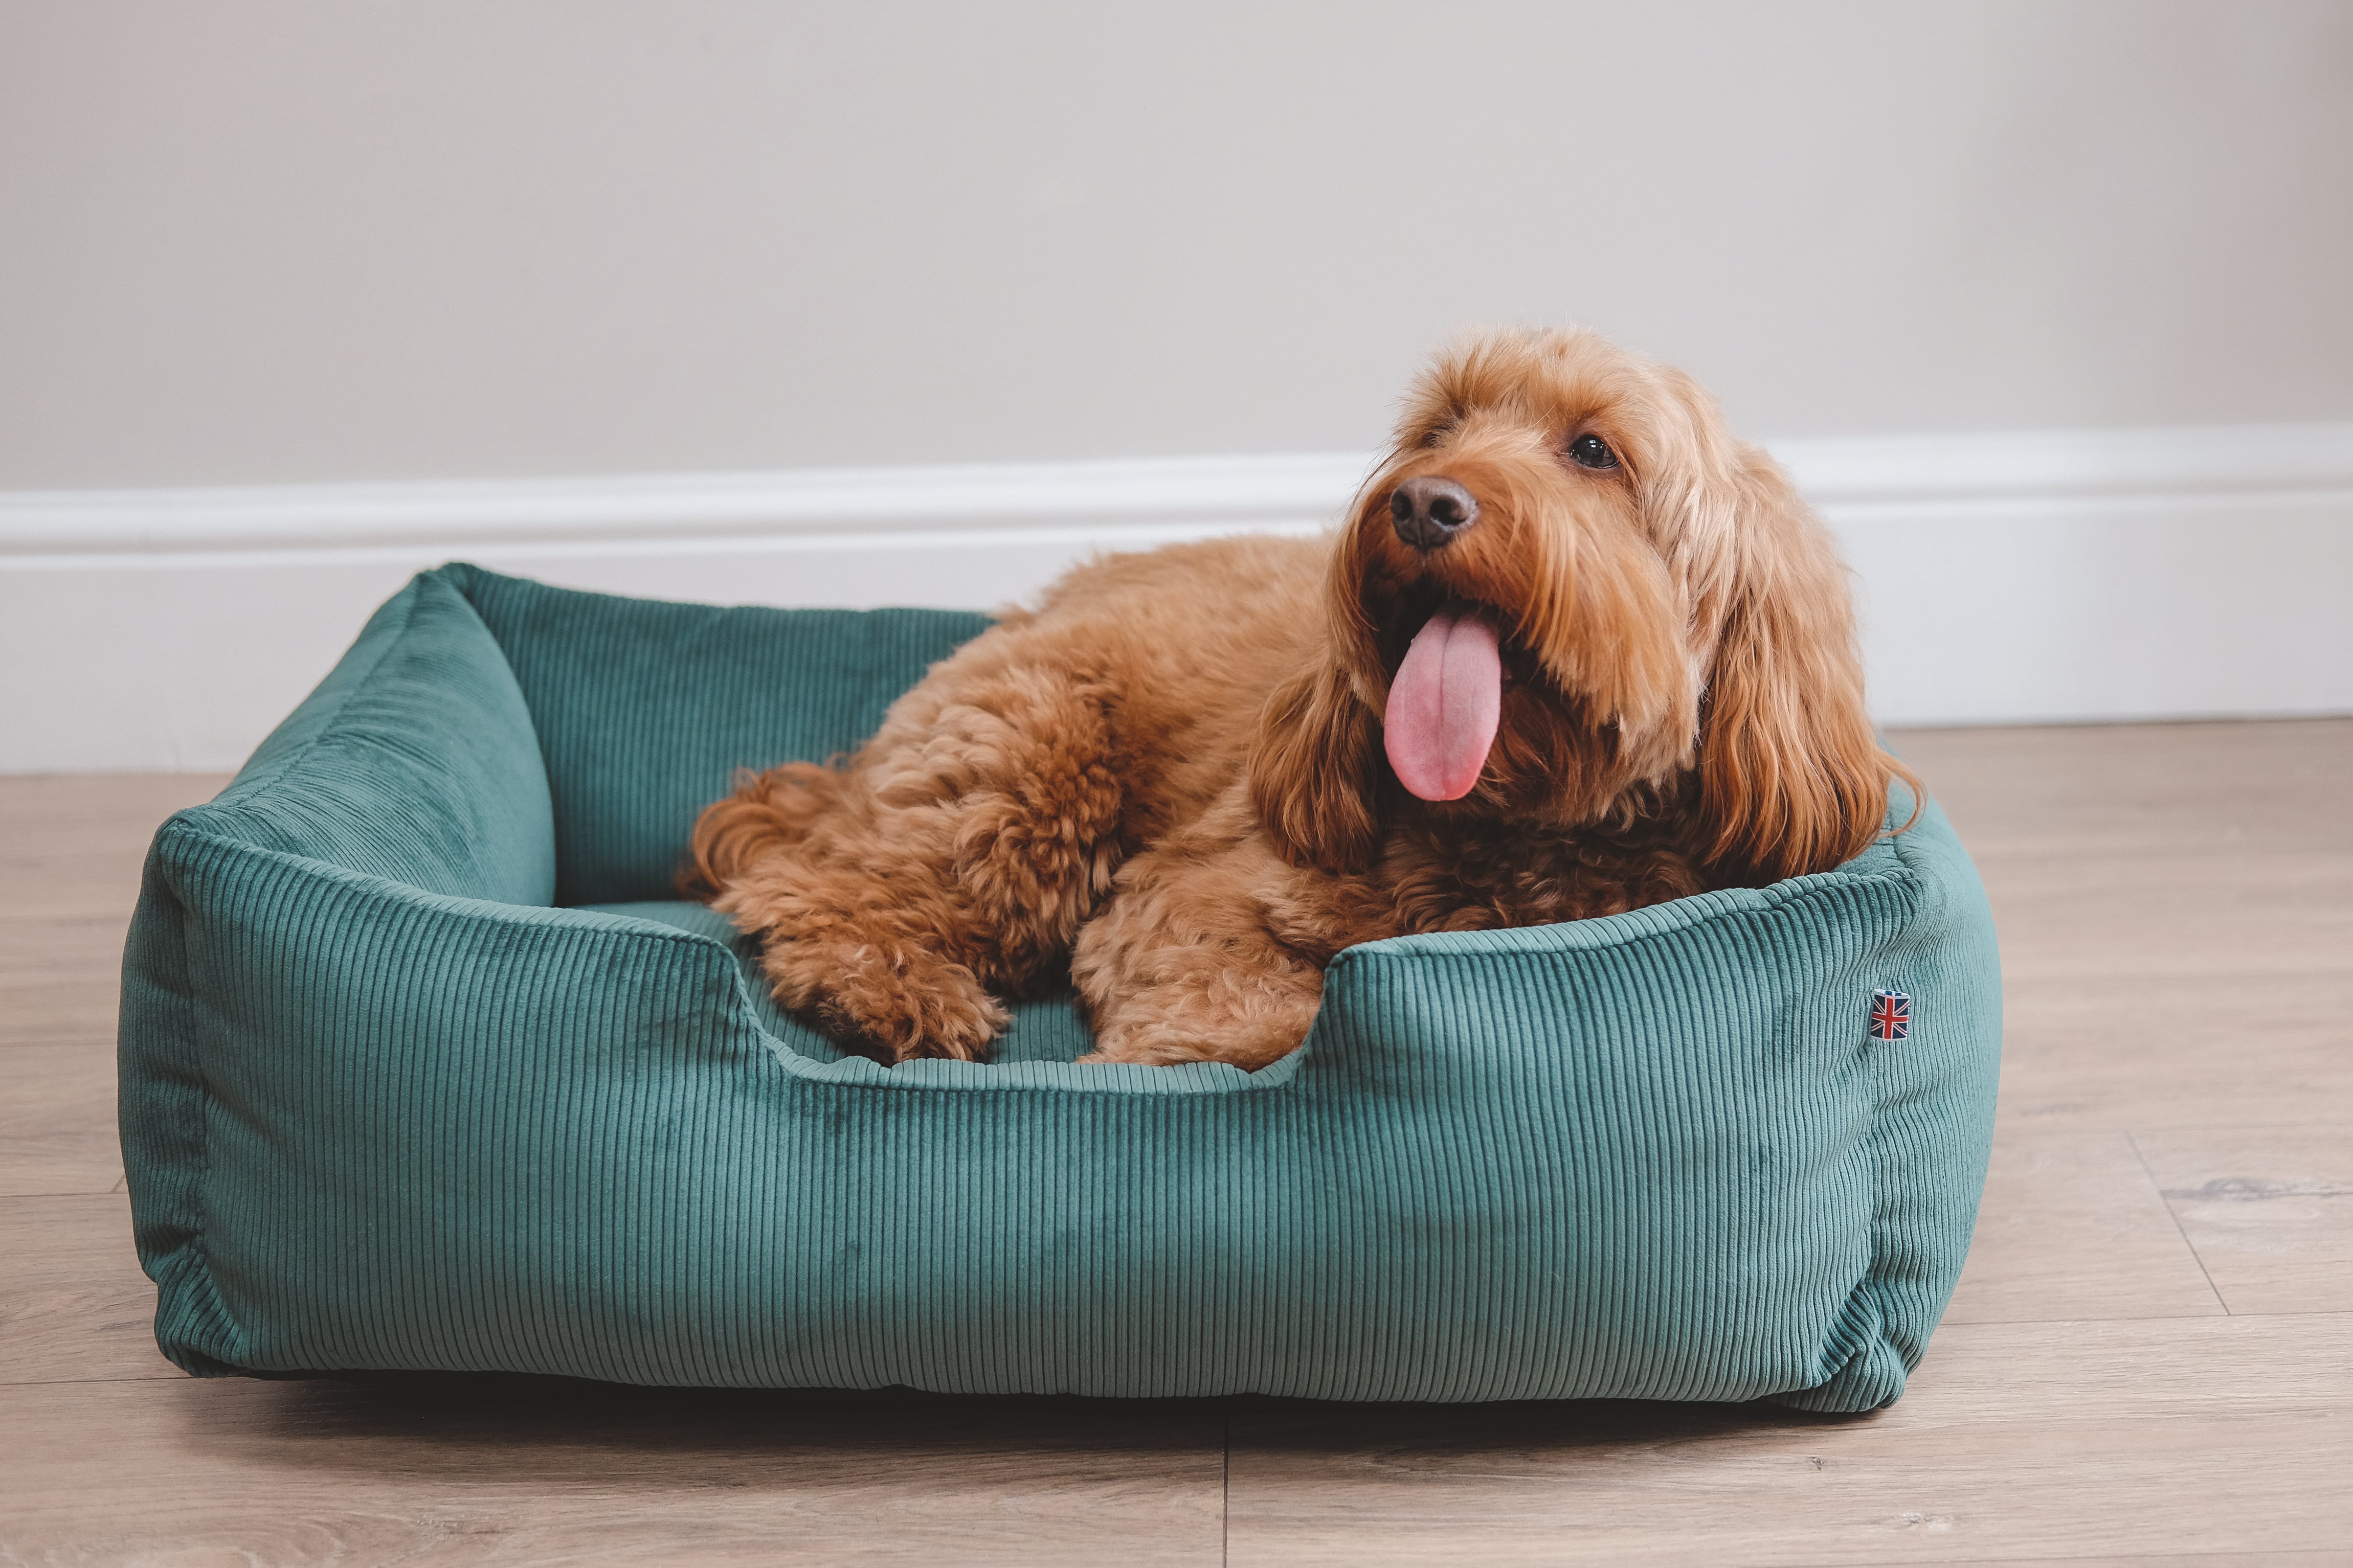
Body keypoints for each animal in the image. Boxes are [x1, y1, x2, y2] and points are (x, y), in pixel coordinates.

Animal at [687, 329, 1920, 1067]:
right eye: (1439, 429)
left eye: (1591, 451)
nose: (1422, 502)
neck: (1512, 828)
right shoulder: (1188, 892)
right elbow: (1258, 1004)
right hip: (1025, 774)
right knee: (806, 890)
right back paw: (891, 996)